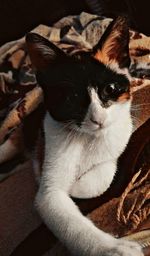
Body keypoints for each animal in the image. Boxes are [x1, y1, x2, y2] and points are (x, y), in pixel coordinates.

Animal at [26, 16, 144, 256]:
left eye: (110, 89)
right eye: (71, 97)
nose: (98, 119)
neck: (87, 138)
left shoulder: (121, 134)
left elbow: (106, 170)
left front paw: (79, 185)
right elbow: (64, 213)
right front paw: (115, 249)